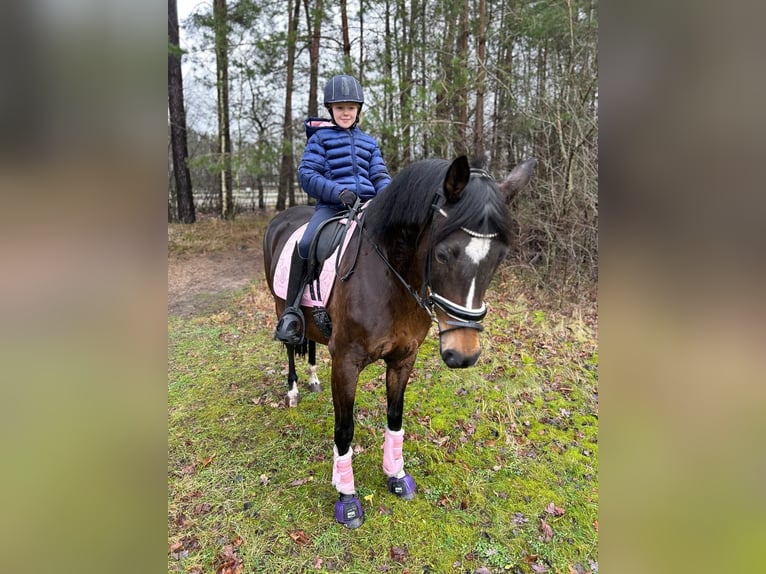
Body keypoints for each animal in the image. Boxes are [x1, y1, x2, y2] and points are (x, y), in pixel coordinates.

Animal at [263, 155, 536, 528]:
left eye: (499, 256)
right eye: (443, 254)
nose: (463, 353)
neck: (390, 276)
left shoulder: (404, 358)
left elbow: (395, 417)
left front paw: (396, 475)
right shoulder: (346, 362)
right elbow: (344, 429)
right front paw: (347, 498)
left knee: (313, 346)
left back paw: (313, 379)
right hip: (282, 306)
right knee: (292, 345)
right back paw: (292, 390)